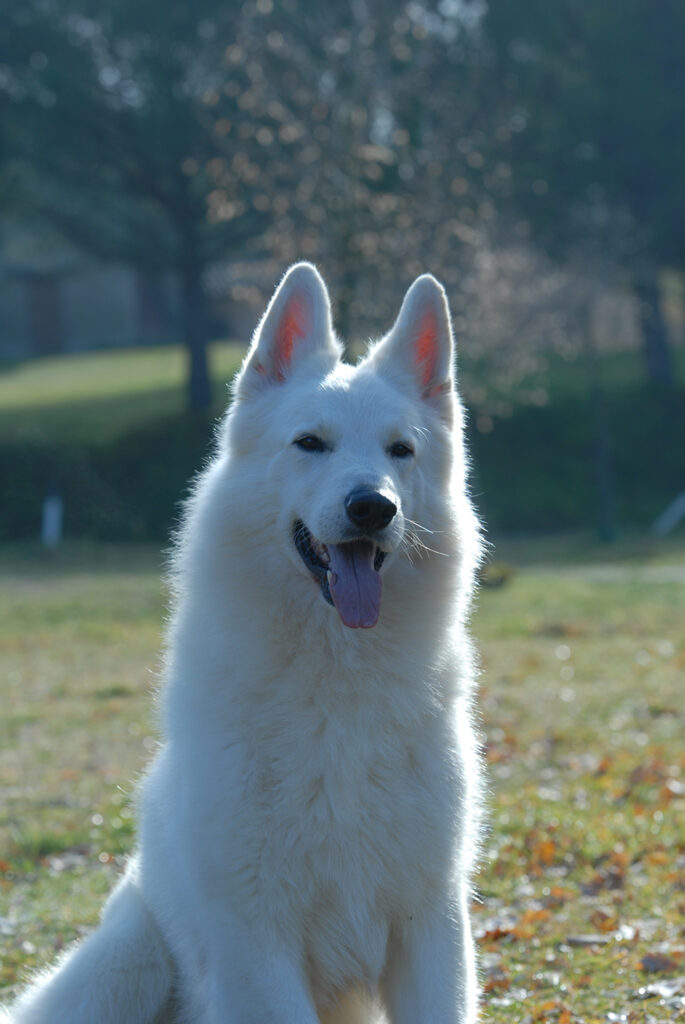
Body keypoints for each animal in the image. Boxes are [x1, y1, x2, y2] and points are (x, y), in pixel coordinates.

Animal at [2, 264, 481, 1024]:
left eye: (400, 451)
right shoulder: (257, 943)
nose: (372, 507)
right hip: (125, 966)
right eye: (309, 443)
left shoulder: (430, 926)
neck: (334, 687)